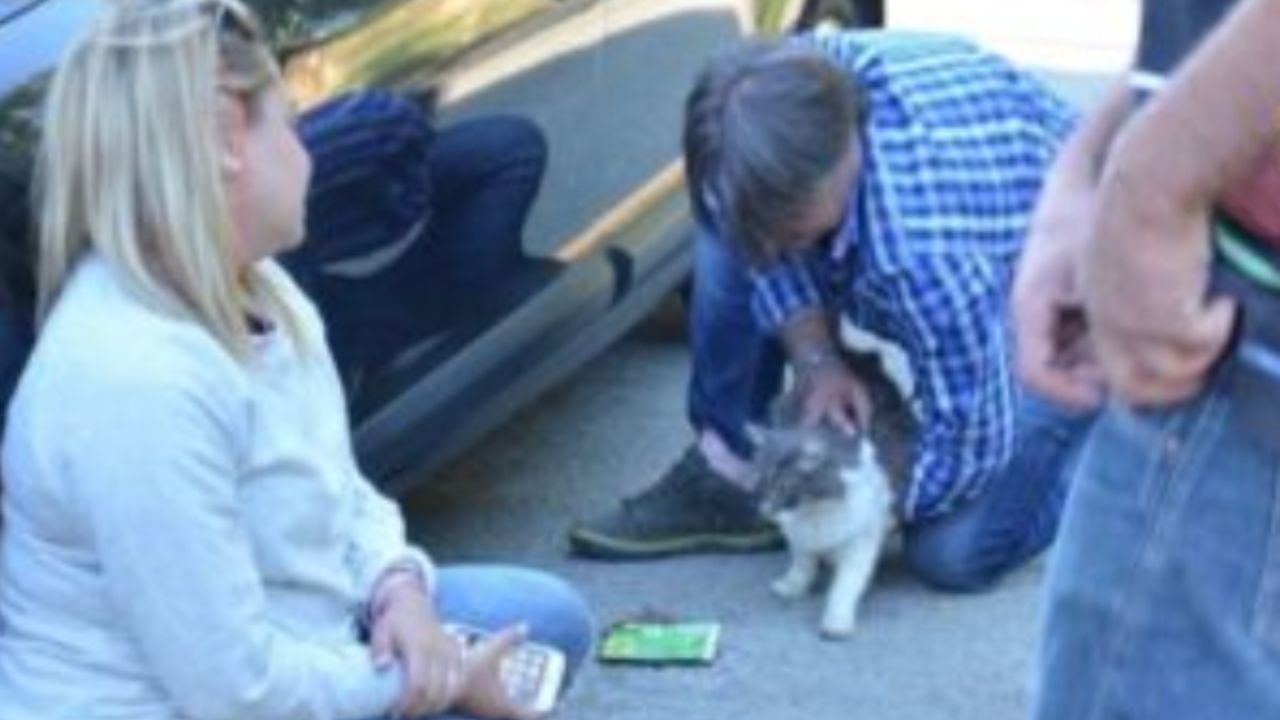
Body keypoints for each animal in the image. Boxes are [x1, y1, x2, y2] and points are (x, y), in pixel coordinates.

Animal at [747, 351, 921, 635]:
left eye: (783, 487)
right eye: (759, 483)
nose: (764, 510)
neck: (814, 510)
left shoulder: (862, 540)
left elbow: (845, 587)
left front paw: (836, 620)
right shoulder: (798, 535)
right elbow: (802, 565)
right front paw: (792, 585)